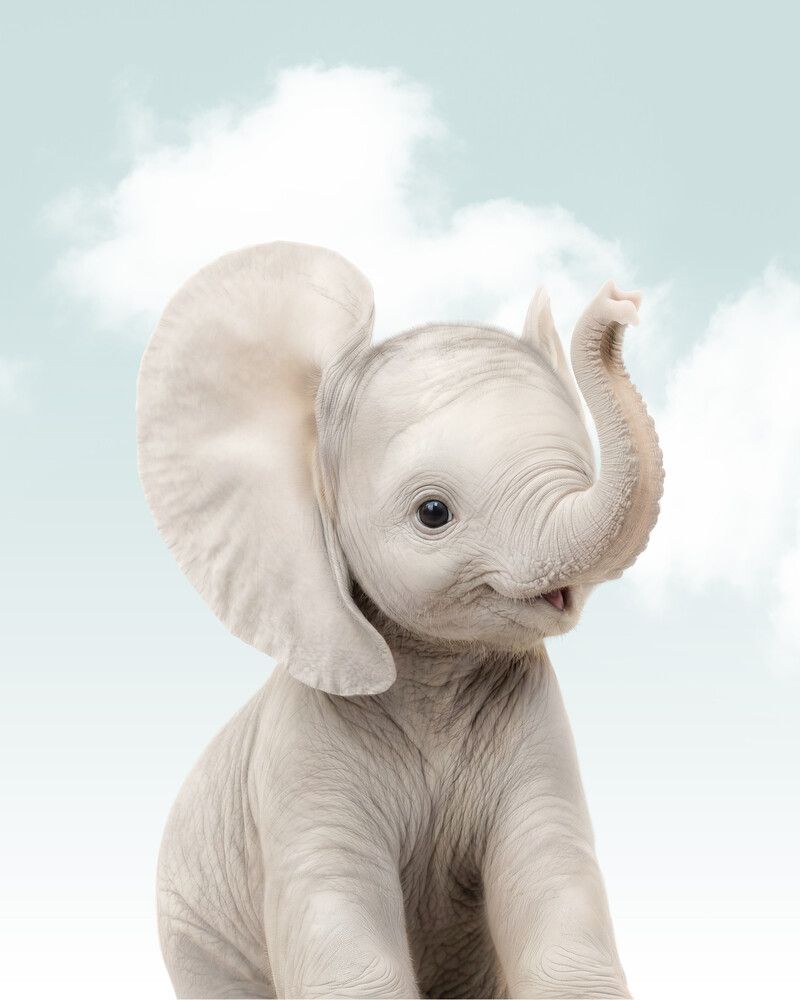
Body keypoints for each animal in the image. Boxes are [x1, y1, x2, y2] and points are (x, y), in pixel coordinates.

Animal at [137, 241, 663, 999]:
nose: (621, 299)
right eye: (433, 513)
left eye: (584, 470)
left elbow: (557, 896)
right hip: (194, 933)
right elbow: (347, 944)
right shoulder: (302, 754)